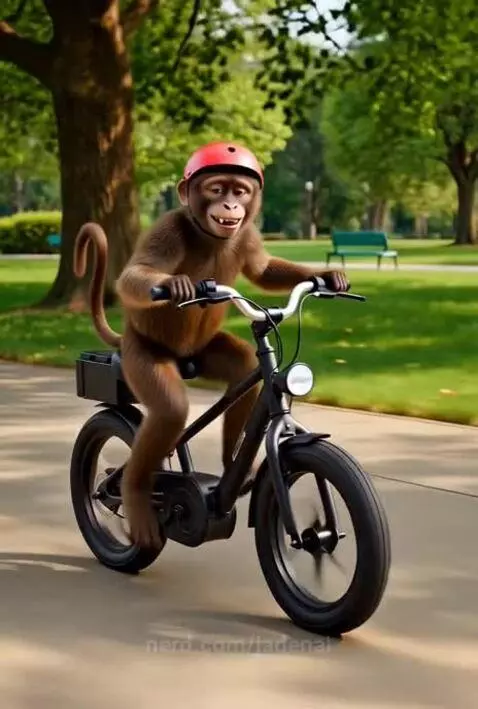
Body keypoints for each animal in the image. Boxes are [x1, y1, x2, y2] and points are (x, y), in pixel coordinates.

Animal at [74, 141, 350, 549]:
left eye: (241, 191)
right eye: (217, 188)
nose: (231, 206)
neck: (213, 236)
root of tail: (123, 341)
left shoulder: (247, 235)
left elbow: (262, 269)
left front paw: (328, 276)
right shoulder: (169, 228)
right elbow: (134, 275)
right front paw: (174, 287)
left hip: (207, 352)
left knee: (241, 370)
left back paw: (232, 469)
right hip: (141, 356)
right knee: (166, 415)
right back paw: (133, 500)